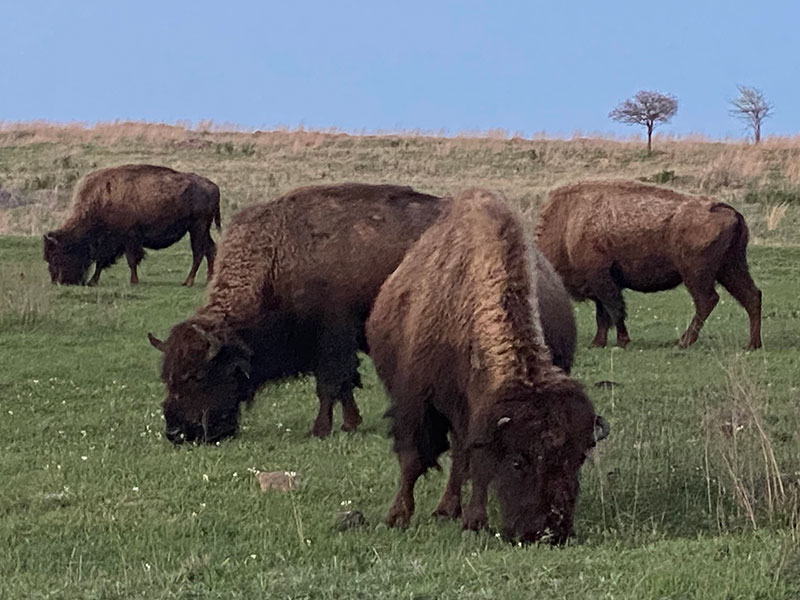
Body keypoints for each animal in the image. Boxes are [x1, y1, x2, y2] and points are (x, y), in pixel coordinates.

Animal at [42, 164, 220, 286]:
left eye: (57, 255)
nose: (58, 281)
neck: (101, 200)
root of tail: (213, 186)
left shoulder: (128, 238)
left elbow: (131, 260)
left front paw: (134, 281)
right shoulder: (112, 242)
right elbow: (102, 261)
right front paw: (93, 281)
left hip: (197, 227)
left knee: (199, 252)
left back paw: (188, 282)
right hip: (202, 229)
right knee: (210, 249)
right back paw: (209, 280)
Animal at [147, 183, 446, 446]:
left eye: (197, 375)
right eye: (167, 376)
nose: (176, 433)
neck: (278, 258)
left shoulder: (332, 340)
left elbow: (330, 385)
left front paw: (320, 430)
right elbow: (345, 385)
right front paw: (350, 424)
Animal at [362, 190, 608, 548]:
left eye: (578, 459)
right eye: (518, 462)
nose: (550, 532)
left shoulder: (477, 417)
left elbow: (475, 464)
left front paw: (474, 520)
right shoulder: (417, 404)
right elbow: (412, 459)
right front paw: (398, 516)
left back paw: (450, 509)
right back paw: (443, 510)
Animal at [536, 179, 764, 346]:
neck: (568, 224)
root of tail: (731, 211)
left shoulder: (601, 278)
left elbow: (614, 309)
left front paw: (622, 341)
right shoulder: (599, 282)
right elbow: (603, 314)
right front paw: (598, 343)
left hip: (696, 274)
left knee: (707, 300)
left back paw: (683, 342)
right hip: (731, 268)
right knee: (752, 296)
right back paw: (752, 344)